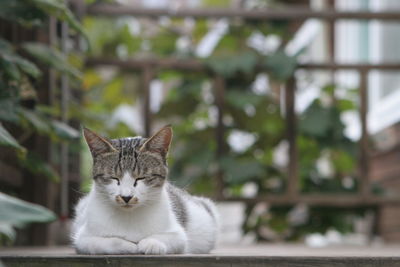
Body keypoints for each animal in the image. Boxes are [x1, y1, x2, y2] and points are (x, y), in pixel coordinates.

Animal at [72, 125, 219, 255]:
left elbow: (169, 238)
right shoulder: (82, 239)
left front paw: (150, 244)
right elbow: (107, 242)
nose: (126, 197)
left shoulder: (178, 235)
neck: (129, 216)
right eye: (114, 178)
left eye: (141, 177)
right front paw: (129, 246)